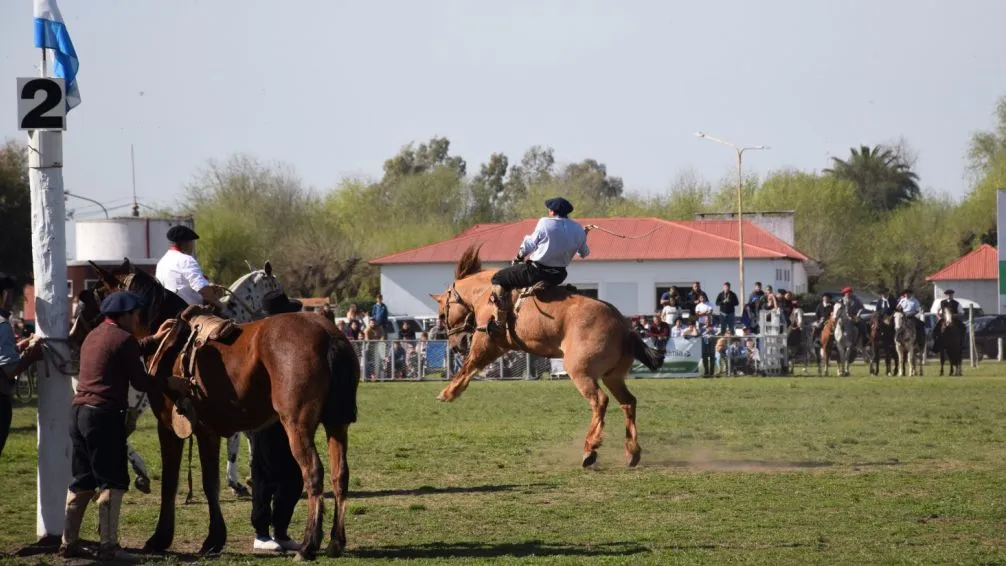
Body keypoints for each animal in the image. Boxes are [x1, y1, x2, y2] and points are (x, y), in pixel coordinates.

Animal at [428, 243, 663, 470]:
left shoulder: (486, 338)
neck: (485, 294)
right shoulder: (501, 345)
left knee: (600, 401)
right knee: (628, 402)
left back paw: (590, 449)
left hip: (581, 372)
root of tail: (624, 327)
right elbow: (474, 366)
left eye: (441, 314)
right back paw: (632, 452)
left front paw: (448, 393)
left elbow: (470, 363)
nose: (455, 345)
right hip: (612, 376)